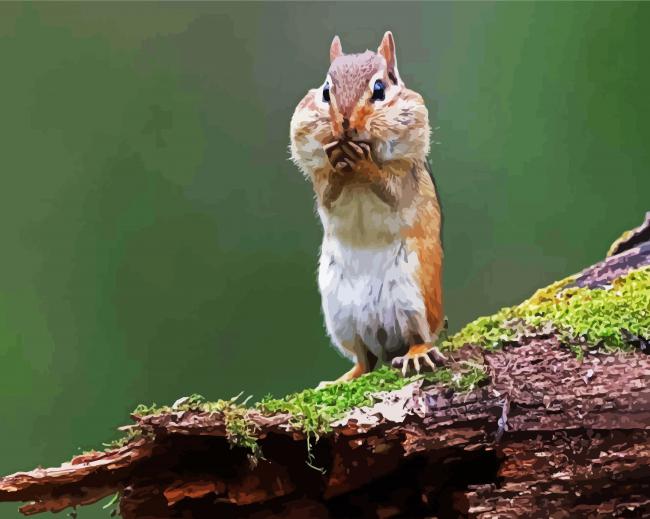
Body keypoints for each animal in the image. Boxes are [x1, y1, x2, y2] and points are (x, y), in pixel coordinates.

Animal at [290, 31, 445, 385]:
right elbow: (328, 192)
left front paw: (363, 163)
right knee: (365, 359)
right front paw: (338, 159)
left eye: (379, 89)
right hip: (341, 317)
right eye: (326, 91)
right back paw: (342, 378)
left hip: (415, 298)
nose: (345, 123)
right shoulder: (321, 180)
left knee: (419, 337)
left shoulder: (404, 176)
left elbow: (388, 188)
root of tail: (387, 339)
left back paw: (415, 354)